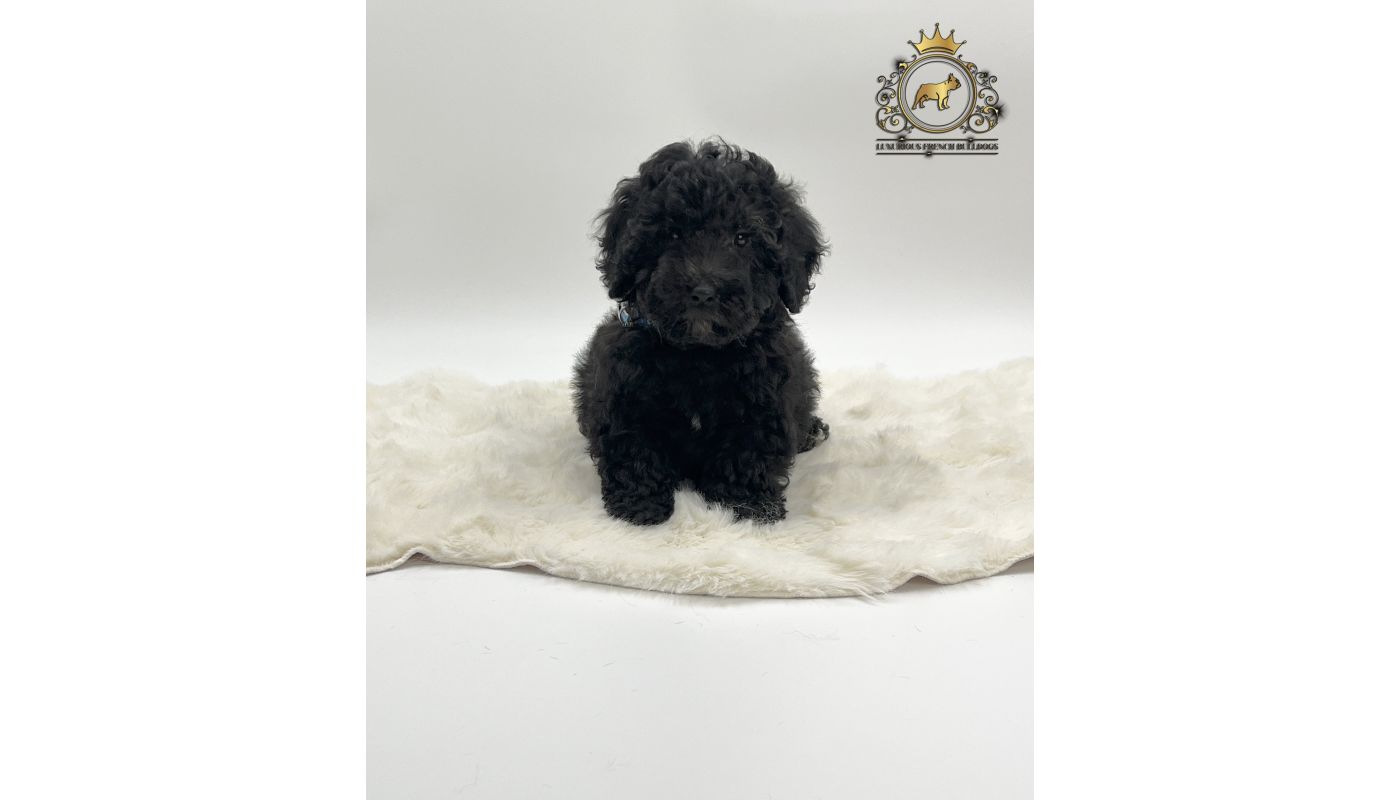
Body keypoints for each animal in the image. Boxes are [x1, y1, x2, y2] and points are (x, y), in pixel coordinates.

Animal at [571, 140, 830, 526]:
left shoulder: (764, 403)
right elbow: (635, 448)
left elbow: (747, 453)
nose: (704, 292)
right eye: (673, 234)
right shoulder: (623, 396)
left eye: (742, 238)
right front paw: (640, 505)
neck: (699, 353)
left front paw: (747, 507)